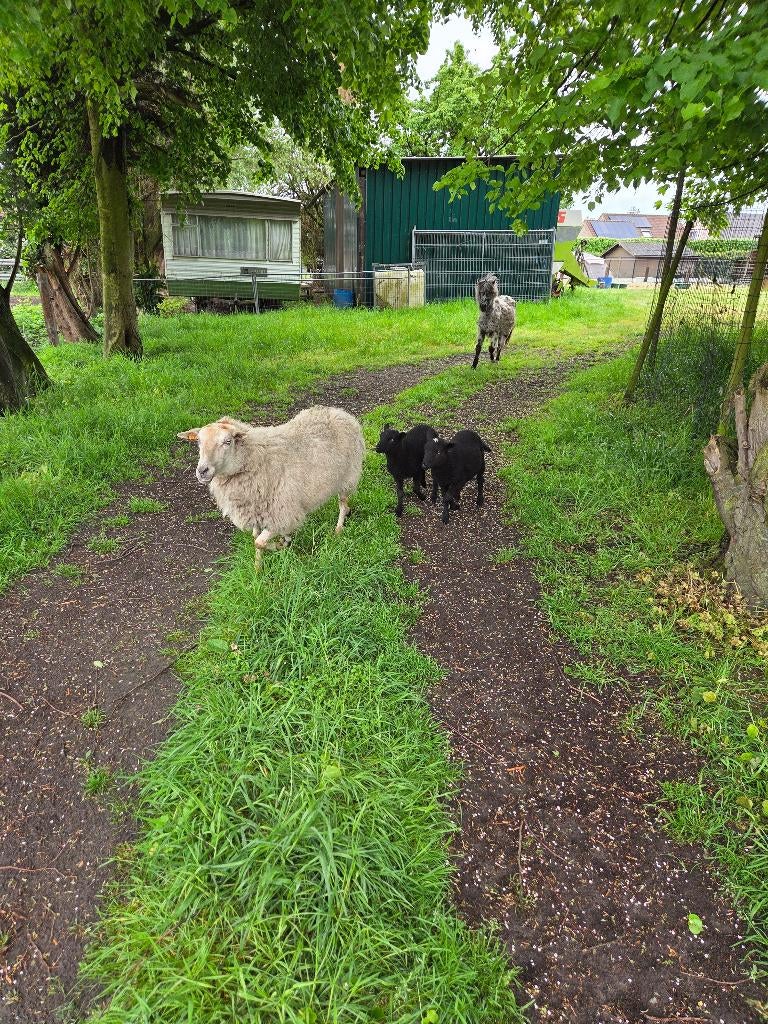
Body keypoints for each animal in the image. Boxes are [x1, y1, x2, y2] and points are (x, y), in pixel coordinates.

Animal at [177, 406, 364, 567]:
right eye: (198, 442)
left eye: (227, 441)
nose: (202, 471)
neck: (254, 459)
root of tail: (339, 412)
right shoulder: (257, 513)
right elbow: (256, 538)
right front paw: (258, 570)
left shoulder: (281, 513)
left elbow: (259, 542)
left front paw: (282, 544)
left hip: (348, 476)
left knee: (342, 503)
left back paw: (339, 528)